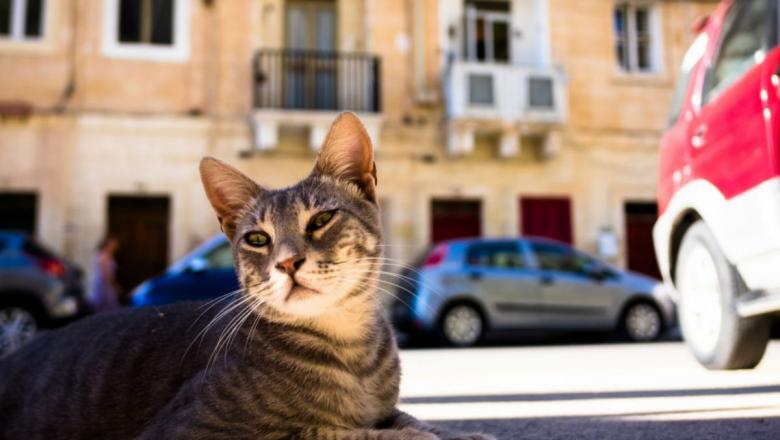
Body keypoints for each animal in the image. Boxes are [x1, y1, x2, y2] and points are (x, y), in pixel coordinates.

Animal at [0, 112, 494, 440]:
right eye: (258, 238)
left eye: (321, 219)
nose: (288, 262)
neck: (350, 350)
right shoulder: (191, 429)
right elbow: (327, 431)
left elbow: (411, 418)